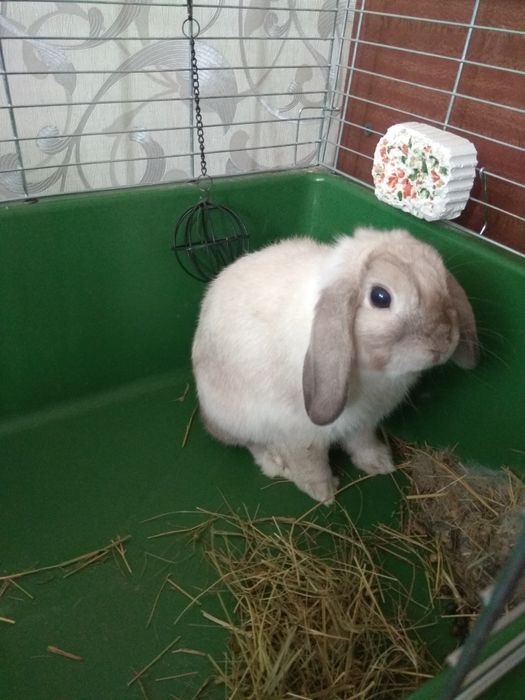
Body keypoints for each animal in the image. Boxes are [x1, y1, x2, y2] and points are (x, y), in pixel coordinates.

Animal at [192, 227, 479, 505]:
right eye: (380, 297)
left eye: (443, 282)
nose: (443, 342)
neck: (375, 375)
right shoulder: (302, 434)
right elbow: (310, 463)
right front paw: (324, 493)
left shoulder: (365, 422)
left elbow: (362, 443)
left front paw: (380, 463)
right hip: (238, 419)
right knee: (252, 442)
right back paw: (275, 462)